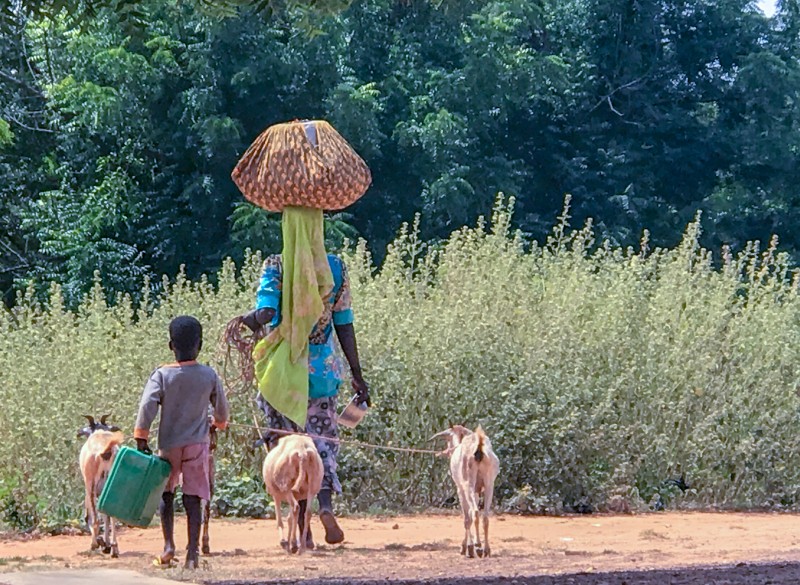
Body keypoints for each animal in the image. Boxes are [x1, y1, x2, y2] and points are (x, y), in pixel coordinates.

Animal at [77, 412, 124, 556]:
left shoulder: (89, 486)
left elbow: (90, 515)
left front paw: (101, 543)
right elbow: (106, 515)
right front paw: (107, 544)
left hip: (91, 487)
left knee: (95, 519)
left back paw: (94, 544)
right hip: (113, 485)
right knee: (112, 514)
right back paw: (114, 548)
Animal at [434, 424, 496, 556]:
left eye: (448, 439)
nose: (448, 451)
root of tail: (478, 449)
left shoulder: (460, 489)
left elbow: (467, 518)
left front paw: (466, 547)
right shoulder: (477, 491)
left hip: (468, 485)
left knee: (475, 513)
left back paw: (477, 546)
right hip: (489, 485)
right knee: (485, 516)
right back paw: (486, 549)